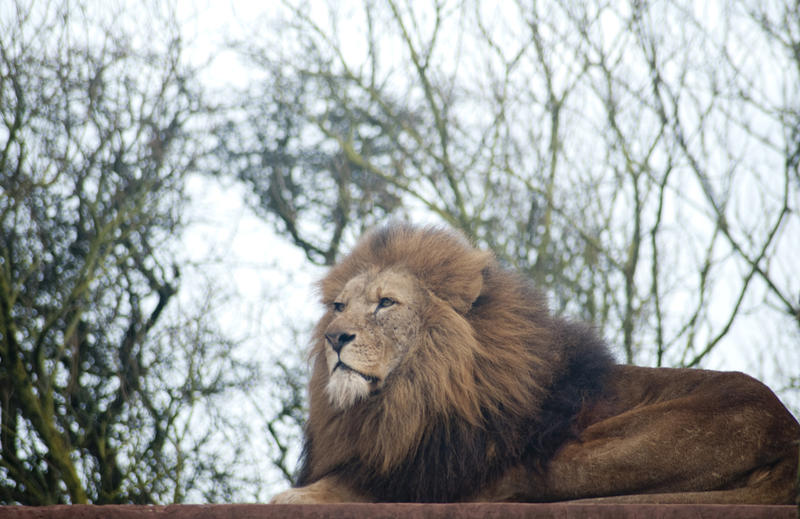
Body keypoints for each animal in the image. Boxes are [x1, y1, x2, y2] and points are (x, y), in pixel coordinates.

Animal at [270, 225, 800, 506]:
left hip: (592, 451)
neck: (406, 400)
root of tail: (787, 431)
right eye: (339, 307)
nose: (334, 337)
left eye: (385, 303)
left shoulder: (434, 472)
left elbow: (346, 485)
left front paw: (292, 495)